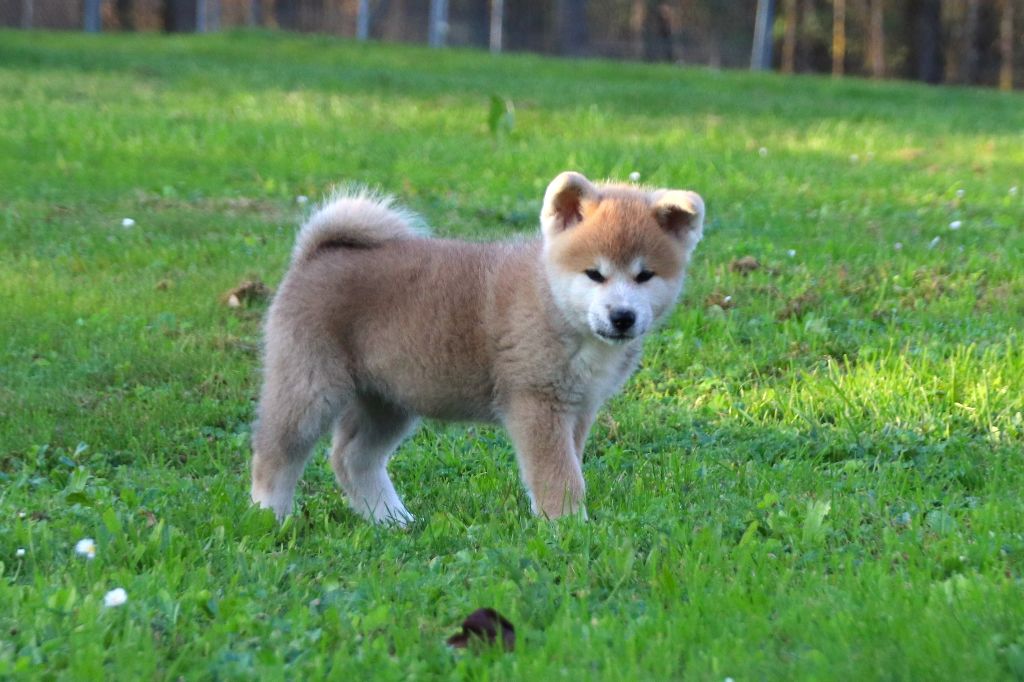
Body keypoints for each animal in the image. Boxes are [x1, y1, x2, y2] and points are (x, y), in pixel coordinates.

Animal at [247, 173, 704, 522]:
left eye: (644, 275)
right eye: (595, 274)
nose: (622, 316)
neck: (553, 304)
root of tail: (314, 254)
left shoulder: (579, 409)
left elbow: (571, 466)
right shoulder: (538, 404)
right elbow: (559, 475)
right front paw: (569, 526)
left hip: (389, 398)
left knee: (352, 458)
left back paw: (392, 519)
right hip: (311, 387)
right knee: (275, 454)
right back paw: (270, 516)